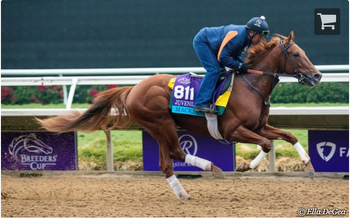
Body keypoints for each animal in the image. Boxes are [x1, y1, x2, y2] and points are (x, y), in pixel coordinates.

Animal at [37, 31, 322, 200]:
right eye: (296, 54)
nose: (317, 75)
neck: (250, 86)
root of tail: (134, 88)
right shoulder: (232, 130)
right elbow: (265, 144)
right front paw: (245, 166)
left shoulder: (259, 126)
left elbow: (287, 136)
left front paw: (309, 166)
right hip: (161, 123)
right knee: (176, 152)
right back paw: (212, 168)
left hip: (157, 128)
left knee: (166, 162)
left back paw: (183, 193)